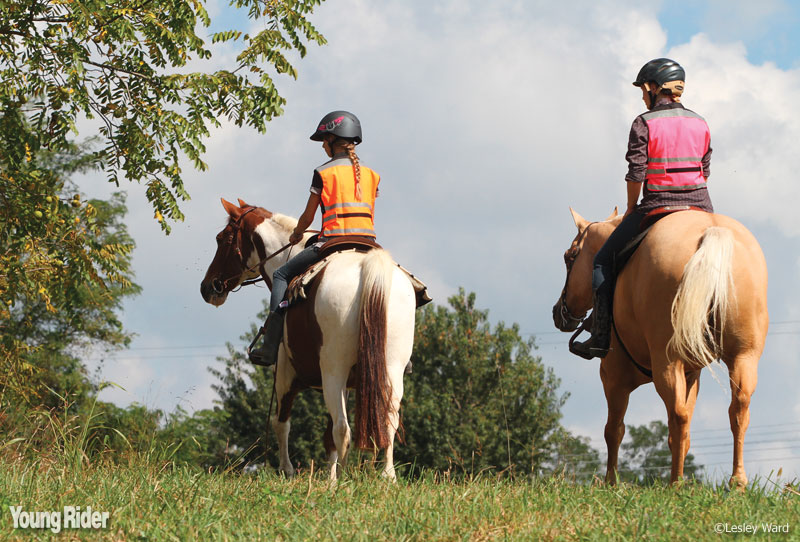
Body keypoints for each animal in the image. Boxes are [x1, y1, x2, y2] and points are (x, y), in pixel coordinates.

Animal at [200, 199, 416, 480]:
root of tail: (370, 269)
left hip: (333, 371)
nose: (208, 287)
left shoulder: (285, 373)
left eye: (222, 238)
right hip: (390, 369)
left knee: (342, 429)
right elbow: (328, 438)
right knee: (387, 421)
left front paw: (287, 470)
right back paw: (386, 476)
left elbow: (281, 423)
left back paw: (340, 480)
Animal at [552, 209, 768, 488]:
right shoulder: (691, 375)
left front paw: (611, 482)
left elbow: (614, 430)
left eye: (570, 257)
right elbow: (680, 436)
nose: (558, 312)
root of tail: (712, 232)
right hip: (744, 357)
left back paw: (676, 483)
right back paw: (737, 482)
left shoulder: (613, 377)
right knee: (738, 410)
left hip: (667, 362)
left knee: (678, 416)